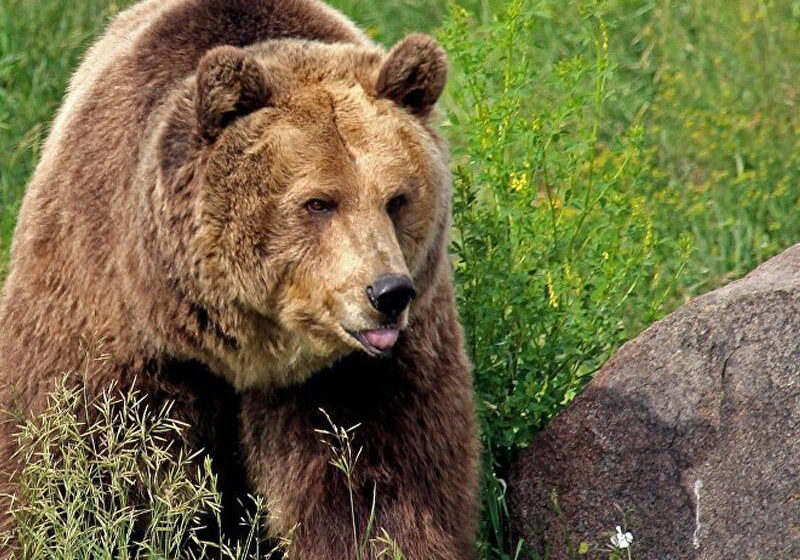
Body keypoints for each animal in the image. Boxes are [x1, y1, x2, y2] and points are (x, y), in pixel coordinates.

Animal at [0, 0, 478, 556]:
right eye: (319, 202)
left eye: (396, 199)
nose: (388, 293)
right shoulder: (111, 318)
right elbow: (78, 458)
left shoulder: (360, 375)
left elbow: (375, 486)